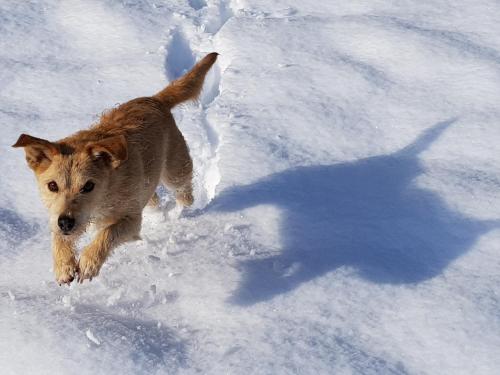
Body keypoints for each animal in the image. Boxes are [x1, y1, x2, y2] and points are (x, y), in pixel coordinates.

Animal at [11, 51, 218, 284]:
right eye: (52, 186)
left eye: (88, 186)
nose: (65, 222)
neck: (105, 193)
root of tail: (155, 100)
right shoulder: (65, 216)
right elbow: (58, 236)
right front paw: (63, 263)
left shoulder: (130, 220)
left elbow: (108, 234)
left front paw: (89, 262)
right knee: (153, 197)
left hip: (175, 170)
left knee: (184, 193)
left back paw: (179, 210)